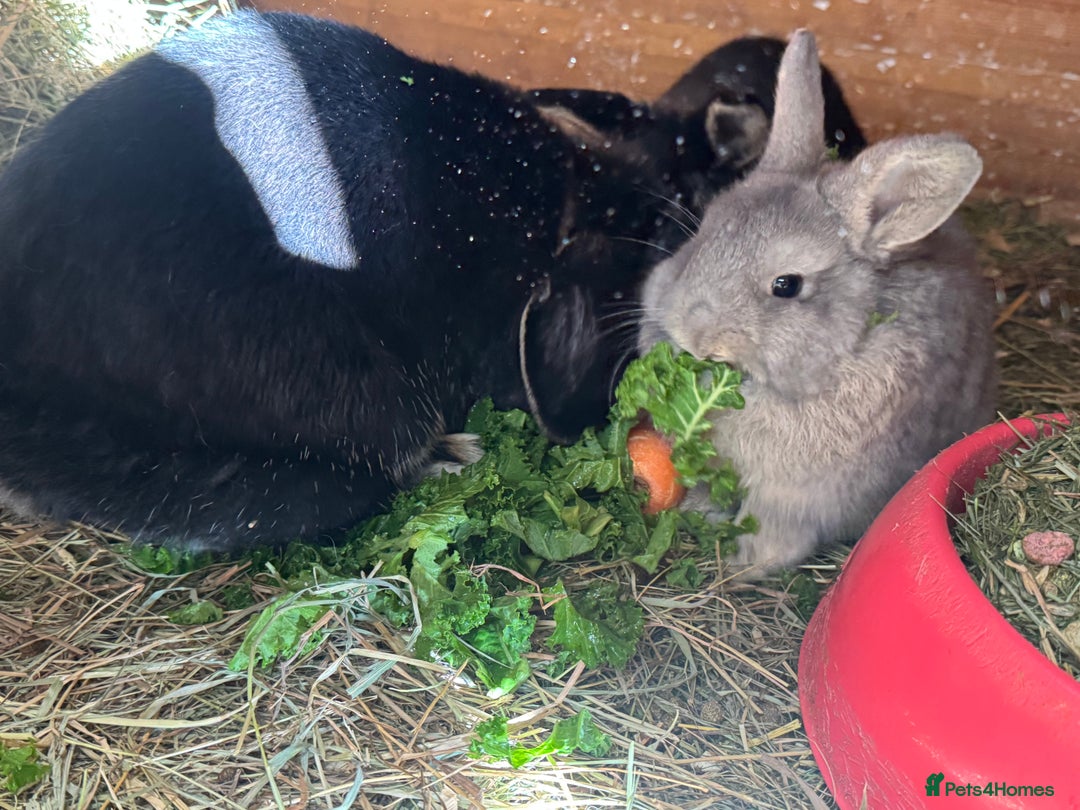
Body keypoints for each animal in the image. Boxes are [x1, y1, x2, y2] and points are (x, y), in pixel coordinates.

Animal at [637, 29, 998, 574]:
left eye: (786, 285)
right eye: (703, 232)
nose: (695, 336)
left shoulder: (792, 501)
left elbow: (775, 540)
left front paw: (742, 566)